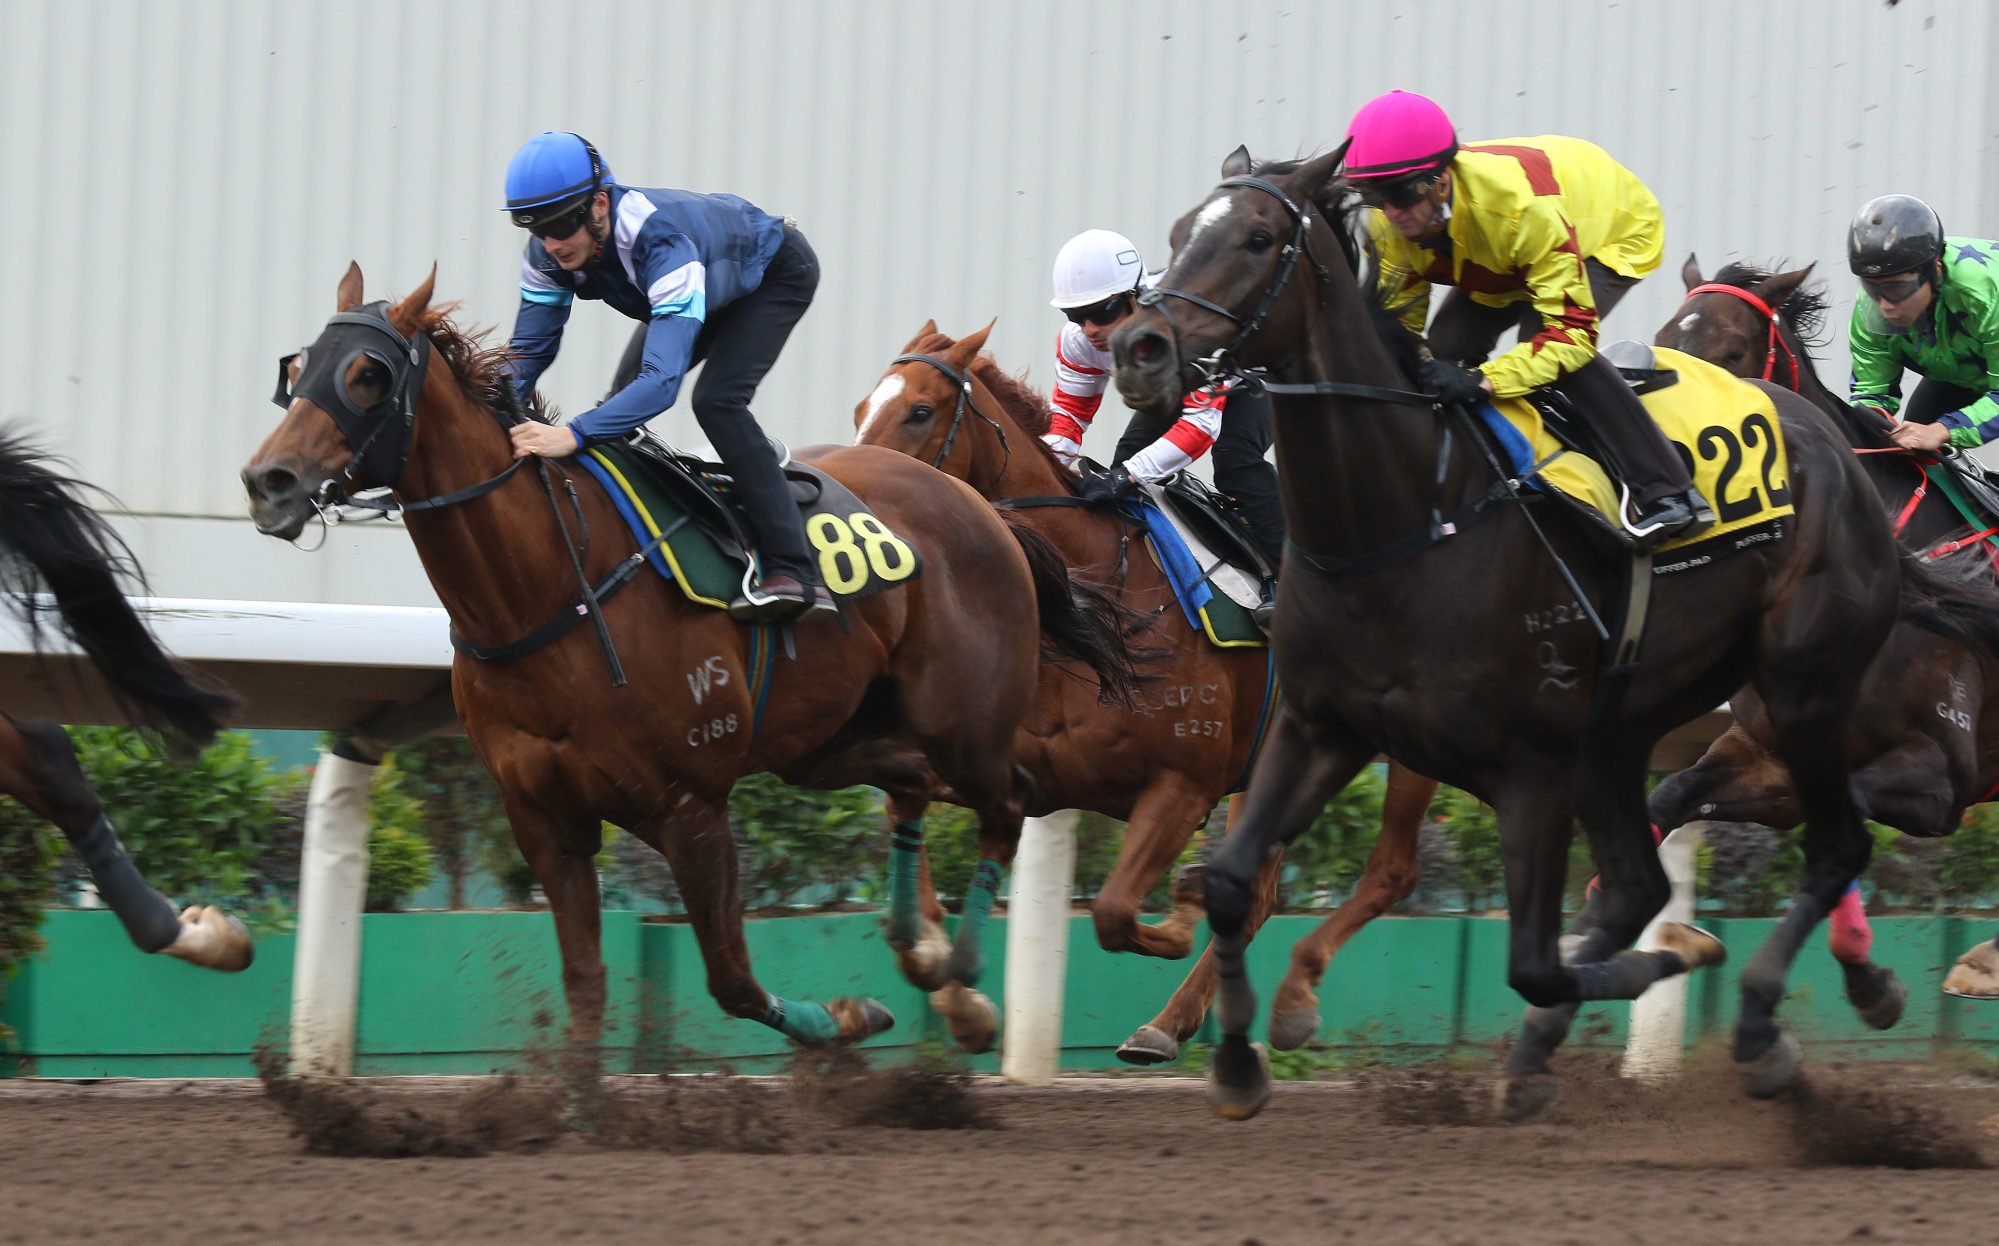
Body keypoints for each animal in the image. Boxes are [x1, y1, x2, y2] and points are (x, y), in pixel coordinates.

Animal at [237, 268, 1143, 1056]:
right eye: (297, 369)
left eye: (366, 374)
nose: (266, 480)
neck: (549, 587)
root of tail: (987, 510)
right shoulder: (545, 820)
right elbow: (585, 984)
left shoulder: (689, 805)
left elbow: (732, 983)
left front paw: (847, 1018)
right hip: (829, 740)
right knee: (913, 786)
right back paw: (925, 960)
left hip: (962, 724)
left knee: (1008, 802)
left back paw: (961, 973)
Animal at [851, 320, 1447, 1064]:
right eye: (861, 407)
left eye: (920, 411)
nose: (855, 493)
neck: (1089, 610)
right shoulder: (995, 766)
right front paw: (958, 1000)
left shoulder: (1183, 785)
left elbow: (1113, 914)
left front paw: (1184, 904)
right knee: (1263, 892)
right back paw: (1174, 1021)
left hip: (1413, 749)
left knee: (1389, 870)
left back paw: (1270, 1007)